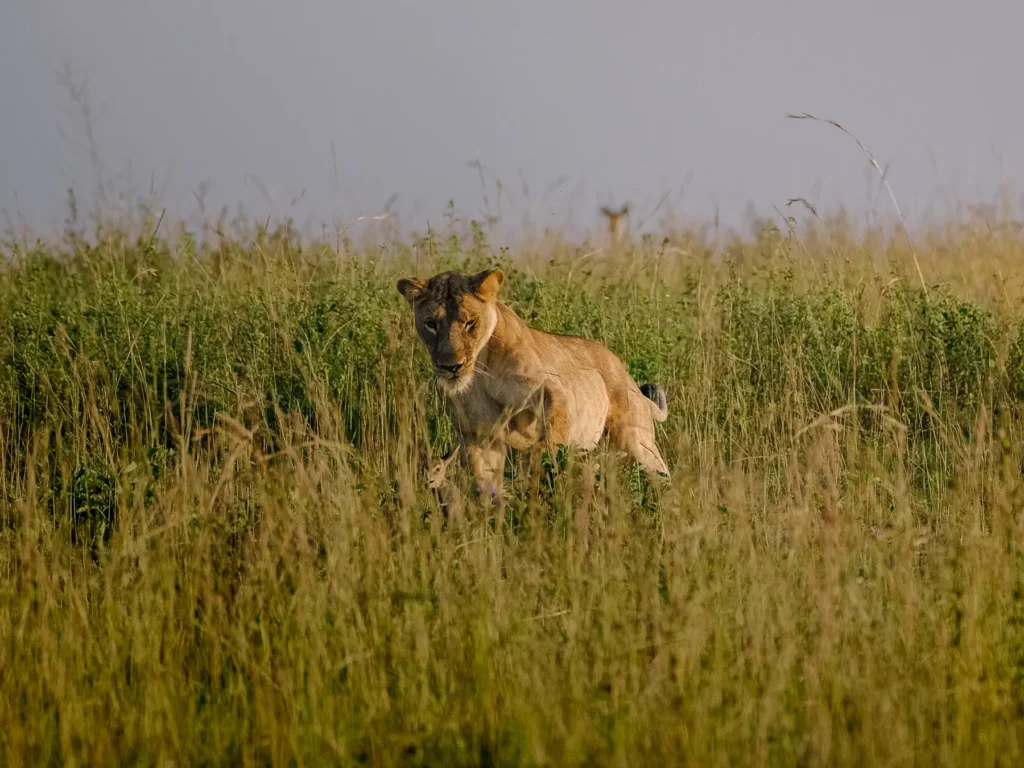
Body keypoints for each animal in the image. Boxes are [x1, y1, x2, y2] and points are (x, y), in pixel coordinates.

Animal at [398, 268, 669, 498]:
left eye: (470, 322)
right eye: (431, 324)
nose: (451, 366)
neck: (478, 373)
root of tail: (626, 374)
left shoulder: (552, 390)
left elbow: (553, 445)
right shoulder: (479, 434)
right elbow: (487, 486)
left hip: (637, 440)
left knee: (662, 474)